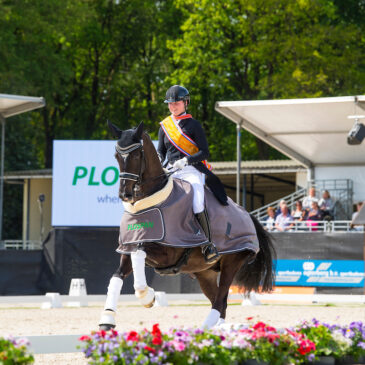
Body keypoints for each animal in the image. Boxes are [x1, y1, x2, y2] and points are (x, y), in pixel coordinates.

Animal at [98, 121, 274, 330]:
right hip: (204, 272)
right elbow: (117, 275)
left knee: (220, 298)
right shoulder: (128, 247)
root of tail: (247, 214)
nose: (125, 194)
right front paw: (107, 320)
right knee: (219, 300)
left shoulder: (168, 254)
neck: (150, 201)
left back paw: (205, 329)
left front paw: (148, 296)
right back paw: (217, 328)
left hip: (232, 262)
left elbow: (139, 254)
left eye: (136, 154)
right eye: (116, 155)